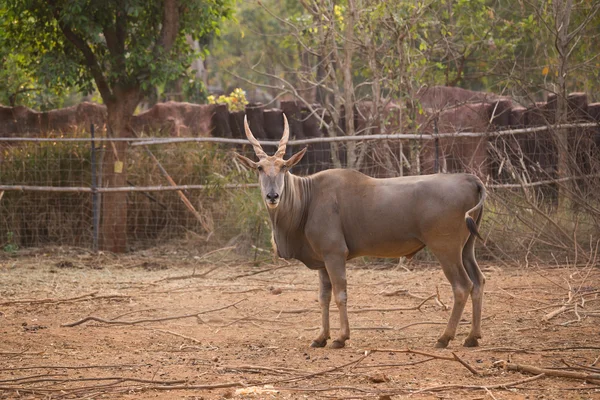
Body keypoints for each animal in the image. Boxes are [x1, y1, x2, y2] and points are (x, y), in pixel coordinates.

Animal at [234, 114, 488, 348]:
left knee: (462, 286)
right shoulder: (323, 261)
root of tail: (471, 180)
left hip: (446, 249)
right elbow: (323, 297)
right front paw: (320, 338)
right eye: (259, 168)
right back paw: (472, 337)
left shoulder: (335, 254)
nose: (272, 195)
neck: (308, 197)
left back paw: (445, 337)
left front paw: (340, 338)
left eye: (284, 167)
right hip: (466, 248)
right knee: (478, 281)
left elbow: (340, 295)